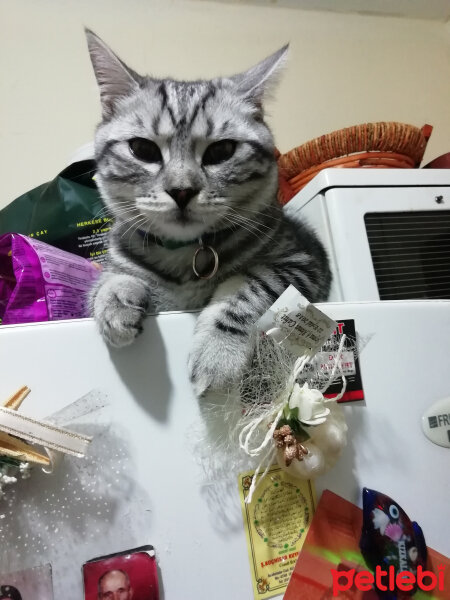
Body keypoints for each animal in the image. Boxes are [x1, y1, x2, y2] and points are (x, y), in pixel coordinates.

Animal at [85, 30, 330, 394]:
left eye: (221, 150)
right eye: (142, 149)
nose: (182, 190)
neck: (184, 257)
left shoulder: (301, 265)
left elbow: (249, 284)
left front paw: (218, 353)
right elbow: (112, 276)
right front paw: (114, 300)